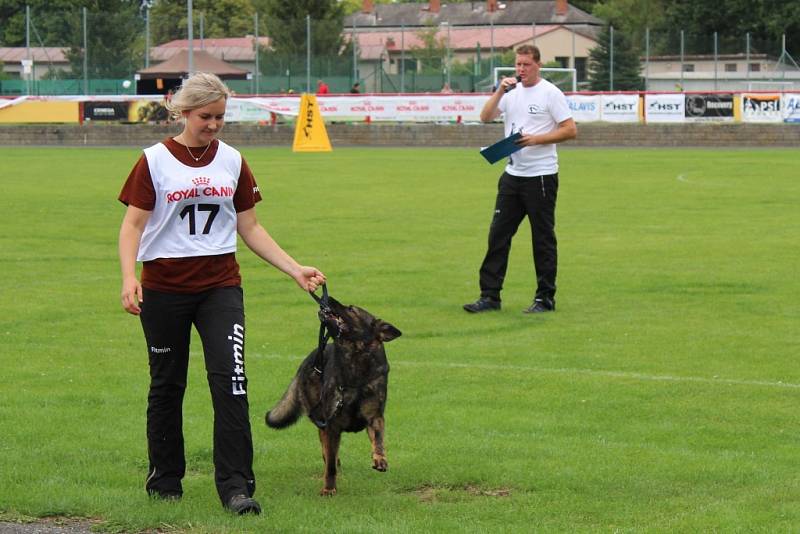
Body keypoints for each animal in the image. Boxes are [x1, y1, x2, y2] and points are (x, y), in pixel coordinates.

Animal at [268, 298, 404, 498]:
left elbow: (379, 440)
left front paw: (380, 458)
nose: (327, 299)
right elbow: (330, 464)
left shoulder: (375, 418)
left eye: (351, 309)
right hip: (320, 419)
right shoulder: (332, 426)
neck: (355, 373)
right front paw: (329, 488)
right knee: (326, 452)